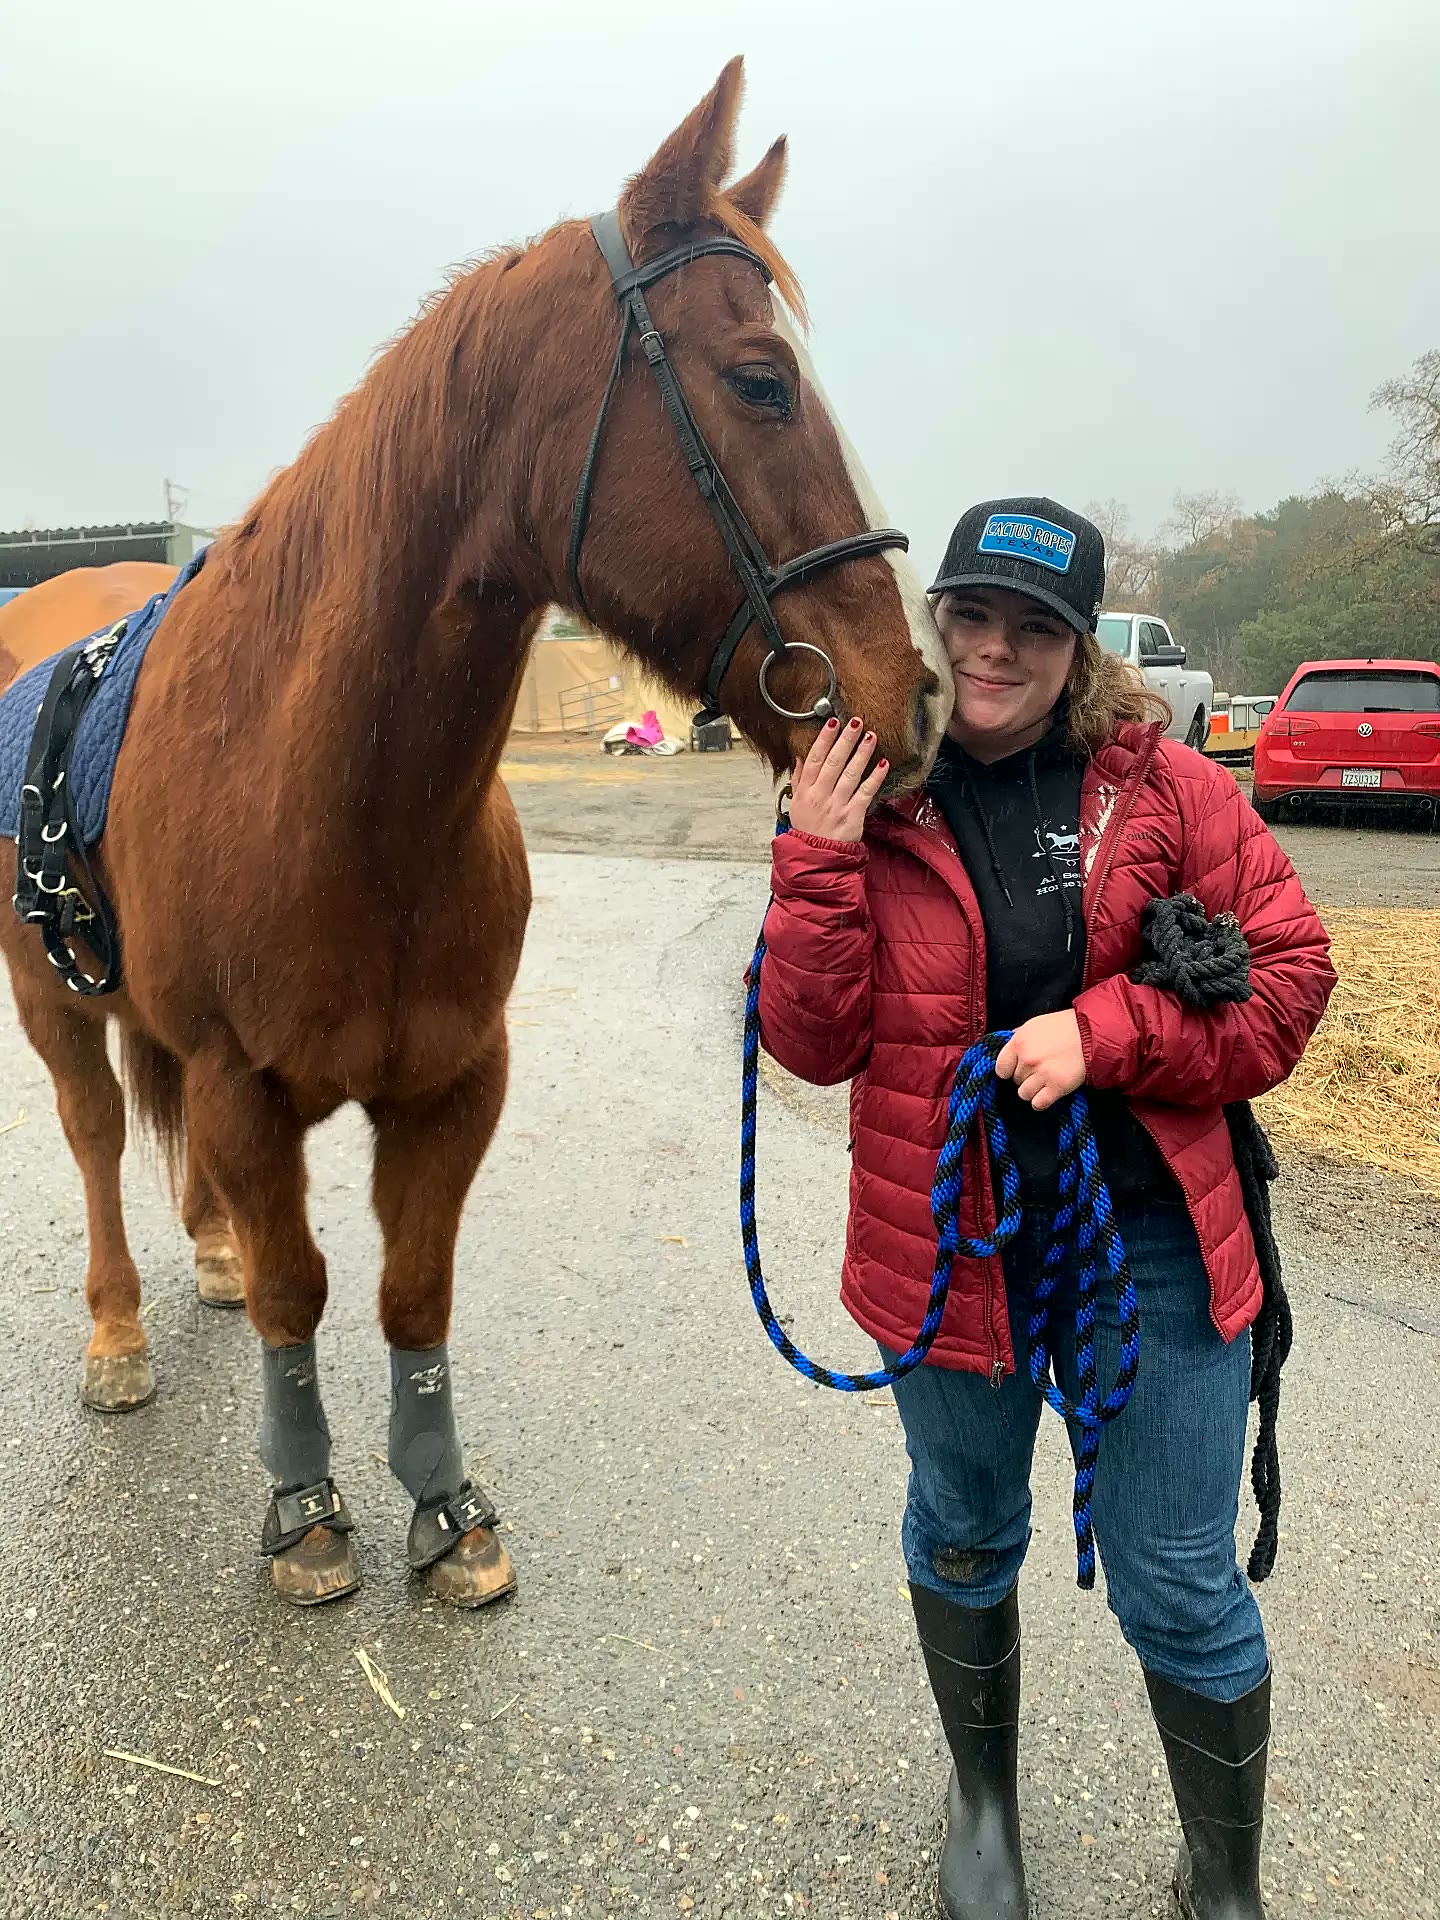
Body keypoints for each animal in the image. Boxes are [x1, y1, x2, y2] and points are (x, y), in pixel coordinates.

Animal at [0, 58, 951, 1609]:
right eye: (760, 380)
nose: (918, 694)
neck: (338, 807)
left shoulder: (455, 1085)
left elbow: (409, 1294)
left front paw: (446, 1511)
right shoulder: (248, 1091)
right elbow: (302, 1293)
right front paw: (307, 1511)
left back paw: (202, 1256)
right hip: (47, 997)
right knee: (91, 1136)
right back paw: (120, 1335)